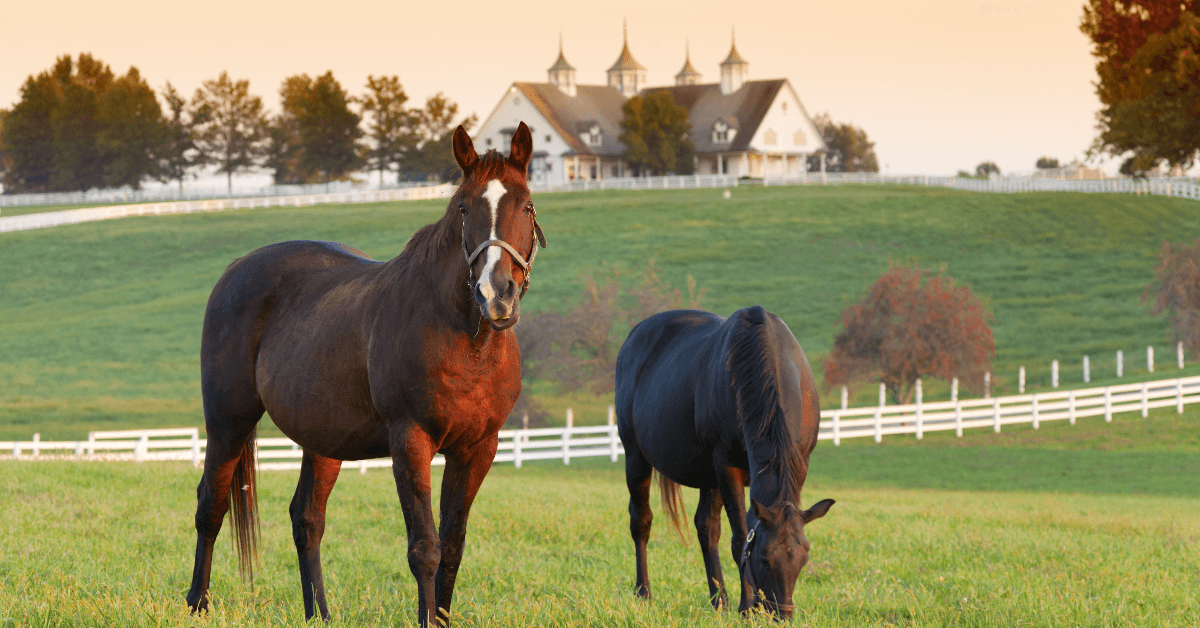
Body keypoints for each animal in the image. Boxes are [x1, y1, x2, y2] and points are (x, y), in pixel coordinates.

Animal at [184, 122, 547, 627]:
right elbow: (425, 548)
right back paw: (197, 602)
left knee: (307, 519)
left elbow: (452, 546)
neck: (466, 342)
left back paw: (318, 614)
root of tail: (236, 269)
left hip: (322, 439)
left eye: (526, 205)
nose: (497, 294)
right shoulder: (410, 440)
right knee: (211, 506)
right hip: (228, 422)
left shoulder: (478, 448)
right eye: (464, 207)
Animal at [614, 305, 835, 618]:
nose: (781, 614)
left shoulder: (798, 465)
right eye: (764, 559)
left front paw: (742, 603)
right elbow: (740, 538)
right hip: (636, 458)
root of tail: (635, 335)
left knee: (706, 528)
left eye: (804, 557)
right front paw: (747, 606)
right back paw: (644, 592)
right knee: (641, 521)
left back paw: (719, 600)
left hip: (708, 476)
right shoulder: (727, 468)